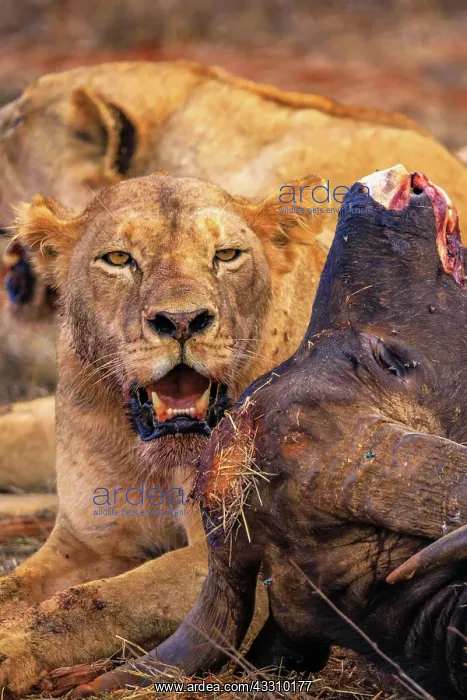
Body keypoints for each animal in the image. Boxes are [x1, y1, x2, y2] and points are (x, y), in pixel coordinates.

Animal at [0, 171, 327, 694]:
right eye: (118, 259)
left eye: (226, 255)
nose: (181, 321)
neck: (158, 460)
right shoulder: (87, 542)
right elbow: (18, 585)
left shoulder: (252, 558)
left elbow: (98, 601)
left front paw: (10, 648)